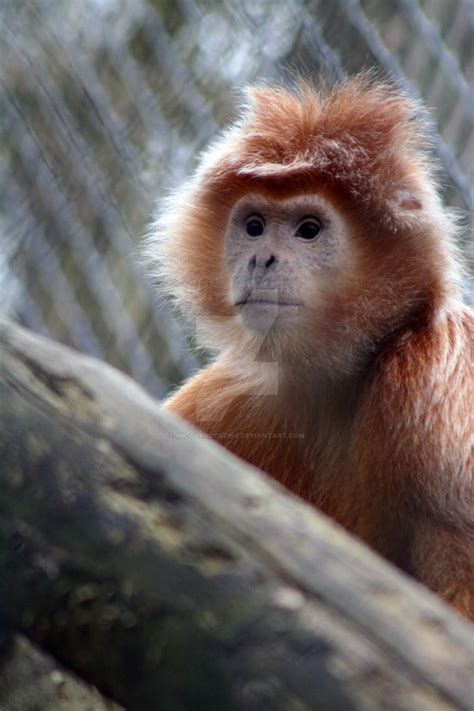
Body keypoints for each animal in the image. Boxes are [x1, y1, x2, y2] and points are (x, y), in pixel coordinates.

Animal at [147, 75, 474, 620]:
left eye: (309, 230)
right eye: (254, 226)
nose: (261, 259)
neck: (337, 385)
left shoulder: (438, 375)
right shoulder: (232, 395)